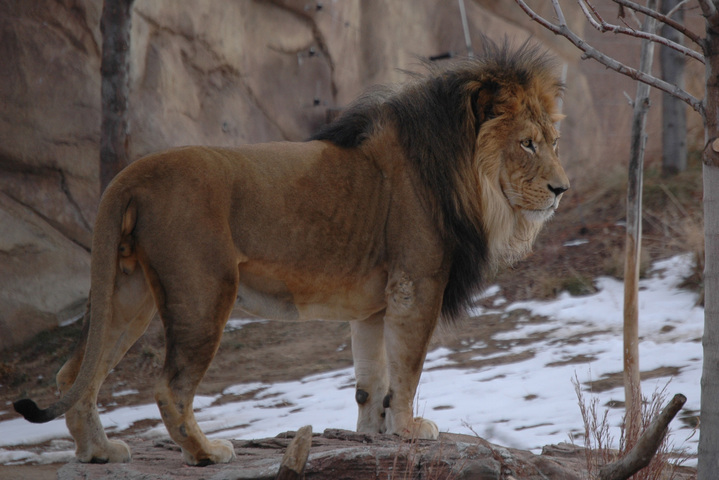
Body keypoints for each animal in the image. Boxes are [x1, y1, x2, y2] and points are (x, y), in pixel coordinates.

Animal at [12, 43, 568, 466]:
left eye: (554, 141)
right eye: (527, 144)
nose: (562, 189)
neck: (464, 175)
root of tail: (131, 174)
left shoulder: (376, 304)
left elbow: (372, 381)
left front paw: (372, 435)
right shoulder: (417, 284)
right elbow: (406, 370)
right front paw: (411, 429)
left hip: (128, 292)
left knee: (74, 374)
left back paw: (99, 452)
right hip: (203, 293)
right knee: (170, 388)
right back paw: (207, 453)